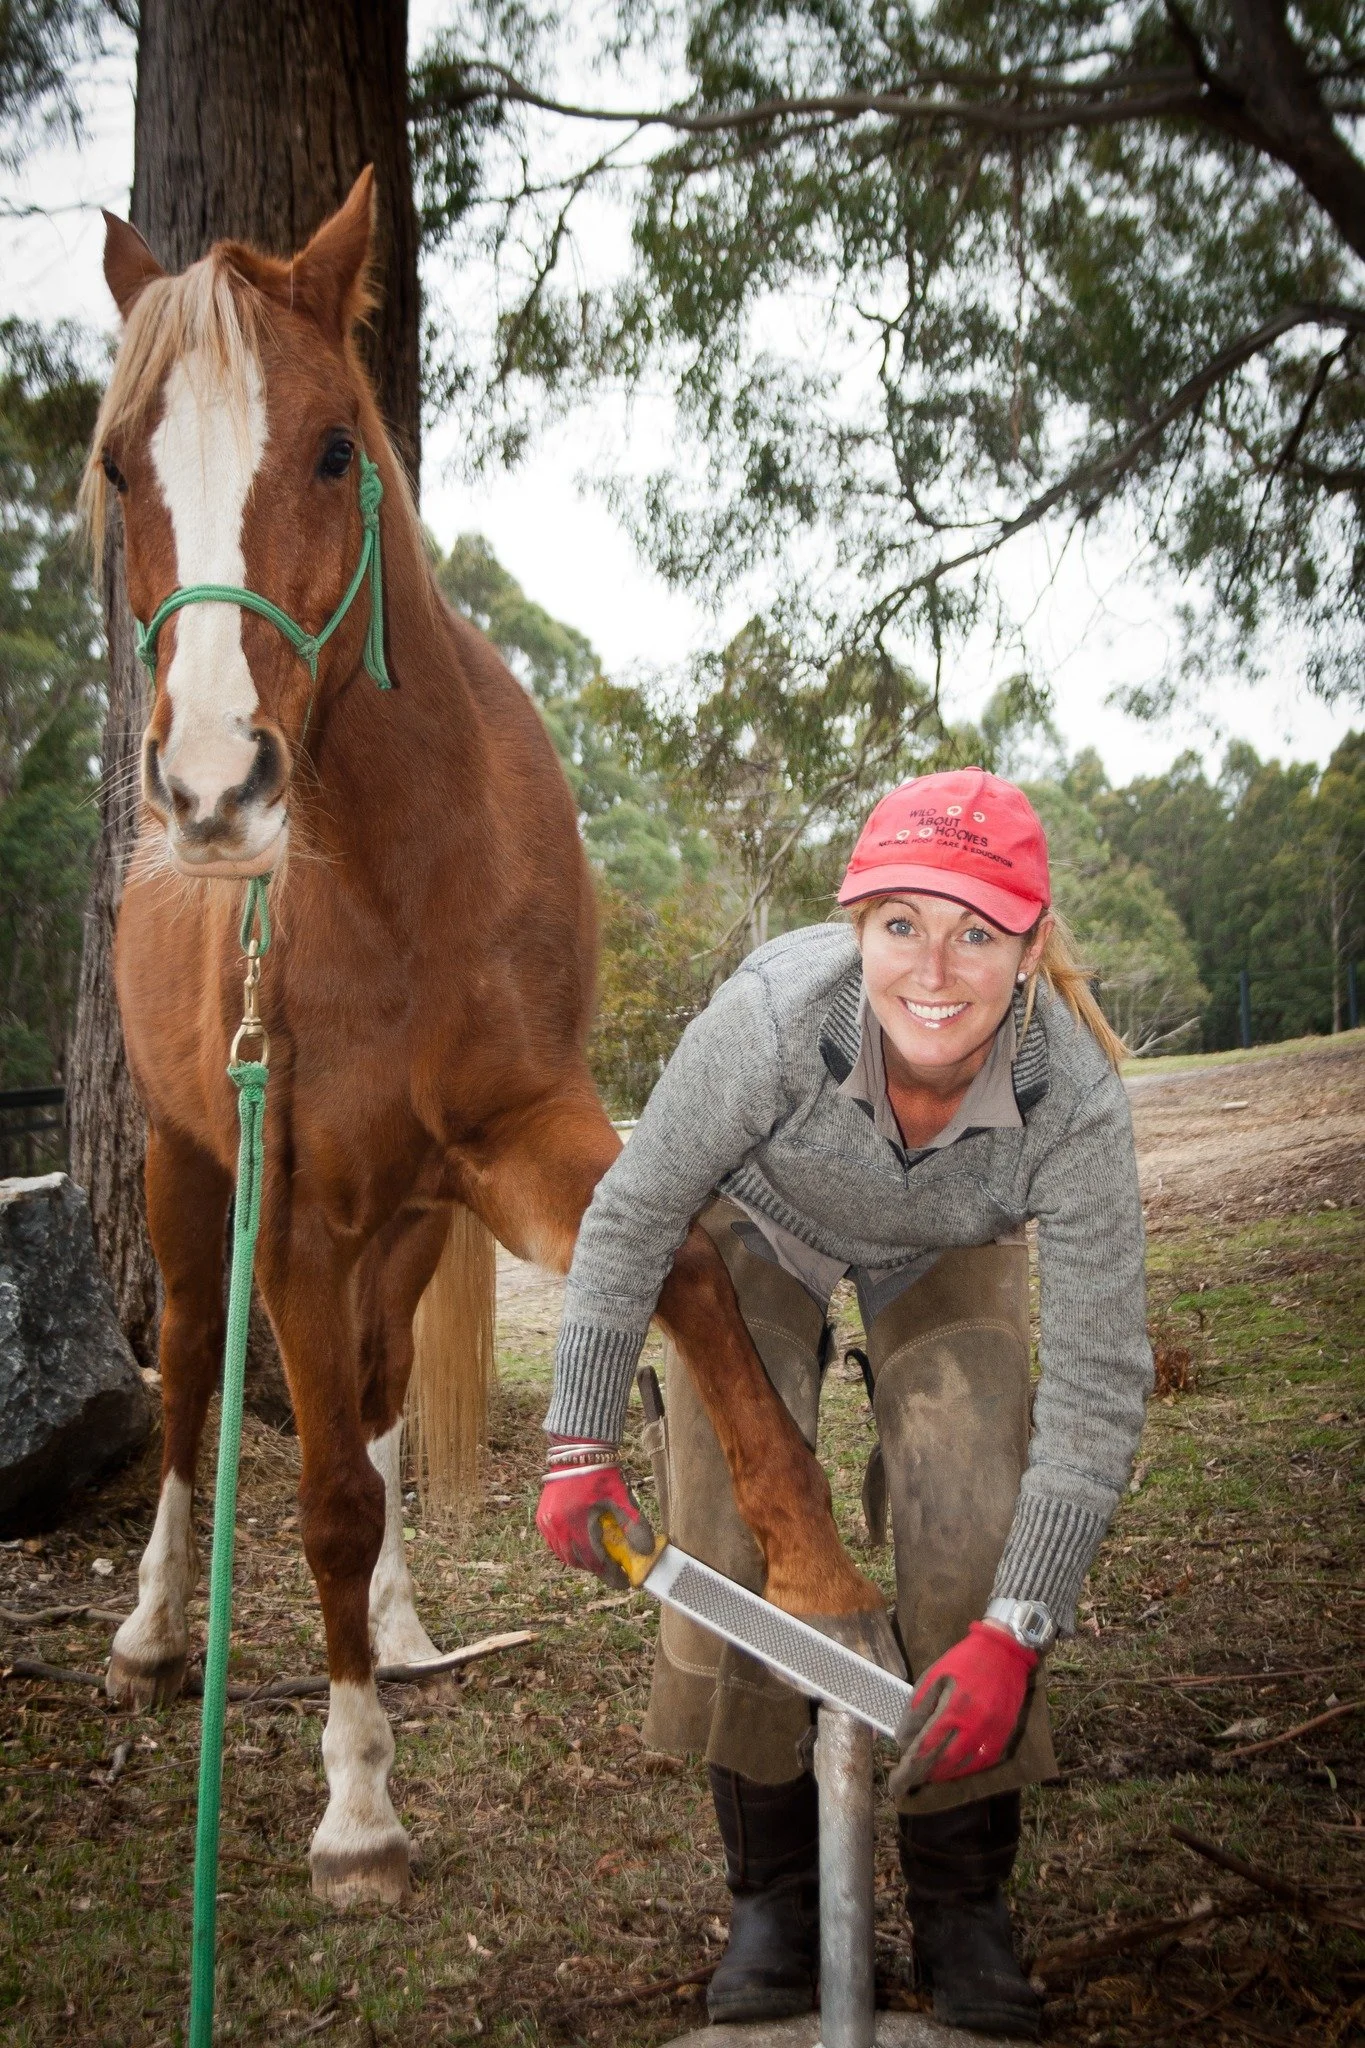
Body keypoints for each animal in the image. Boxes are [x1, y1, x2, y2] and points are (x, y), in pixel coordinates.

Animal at [86, 169, 887, 1907]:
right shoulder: (295, 1214)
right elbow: (317, 1497)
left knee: (384, 1392)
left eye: (335, 448)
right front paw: (357, 1809)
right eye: (119, 467)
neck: (402, 870)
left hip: (404, 1227)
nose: (215, 790)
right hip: (193, 1186)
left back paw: (398, 1627)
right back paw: (157, 1634)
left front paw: (817, 1583)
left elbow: (690, 1267)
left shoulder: (532, 1134)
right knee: (187, 1392)